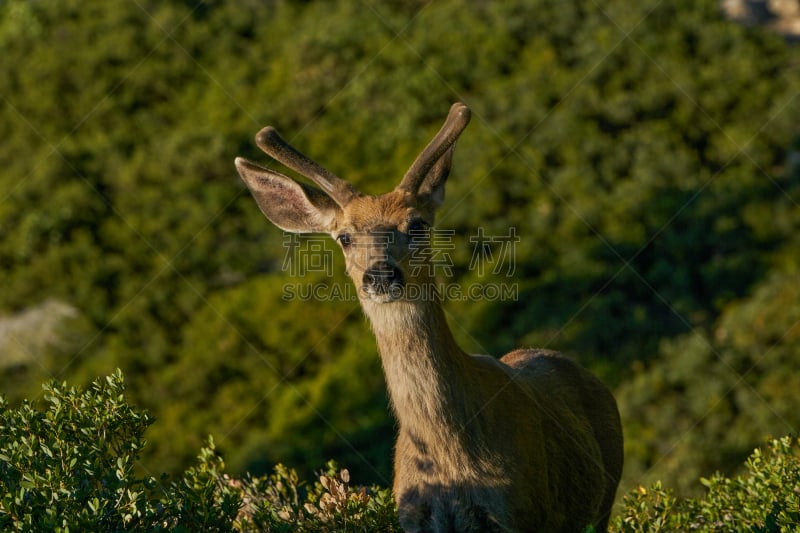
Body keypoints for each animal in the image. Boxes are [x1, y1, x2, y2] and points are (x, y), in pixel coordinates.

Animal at [236, 102, 624, 528]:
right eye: (345, 236)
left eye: (418, 225)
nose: (380, 275)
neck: (451, 462)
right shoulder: (413, 517)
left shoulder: (518, 510)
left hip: (604, 500)